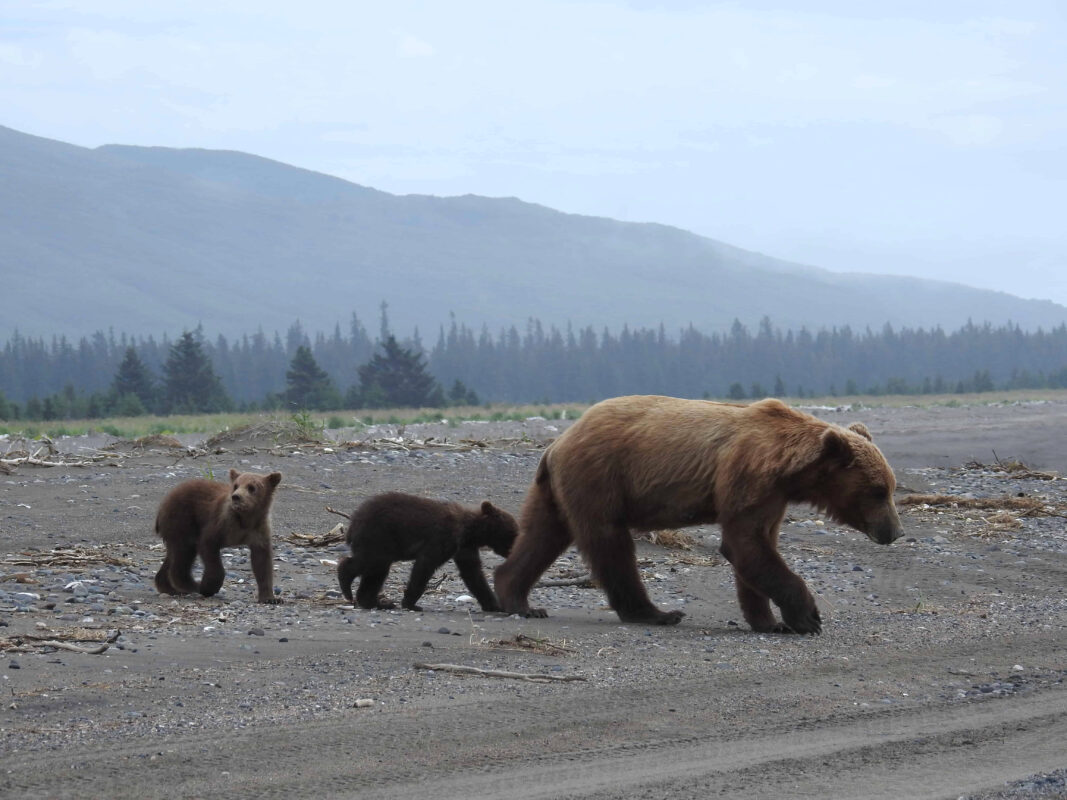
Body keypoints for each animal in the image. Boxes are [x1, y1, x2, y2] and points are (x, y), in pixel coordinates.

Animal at [154, 469, 283, 604]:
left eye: (252, 487)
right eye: (236, 485)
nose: (236, 497)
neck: (245, 519)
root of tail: (164, 502)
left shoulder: (258, 532)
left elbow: (262, 563)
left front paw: (271, 598)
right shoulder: (221, 524)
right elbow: (209, 547)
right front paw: (208, 587)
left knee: (173, 556)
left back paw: (170, 588)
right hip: (182, 521)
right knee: (183, 554)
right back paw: (193, 586)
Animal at [336, 492, 519, 612]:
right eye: (513, 534)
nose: (512, 551)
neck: (469, 531)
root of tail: (352, 522)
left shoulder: (464, 547)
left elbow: (473, 573)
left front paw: (494, 605)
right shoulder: (442, 538)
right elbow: (425, 566)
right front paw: (411, 603)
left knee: (376, 573)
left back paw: (377, 603)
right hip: (378, 535)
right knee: (372, 563)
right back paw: (347, 583)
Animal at [493, 395, 902, 633]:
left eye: (891, 487)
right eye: (878, 491)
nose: (895, 531)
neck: (789, 469)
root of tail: (557, 442)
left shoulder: (771, 496)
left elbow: (757, 549)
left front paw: (768, 621)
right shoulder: (745, 477)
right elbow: (744, 545)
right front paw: (807, 617)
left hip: (555, 490)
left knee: (541, 535)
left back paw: (517, 598)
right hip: (600, 476)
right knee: (610, 544)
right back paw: (656, 612)